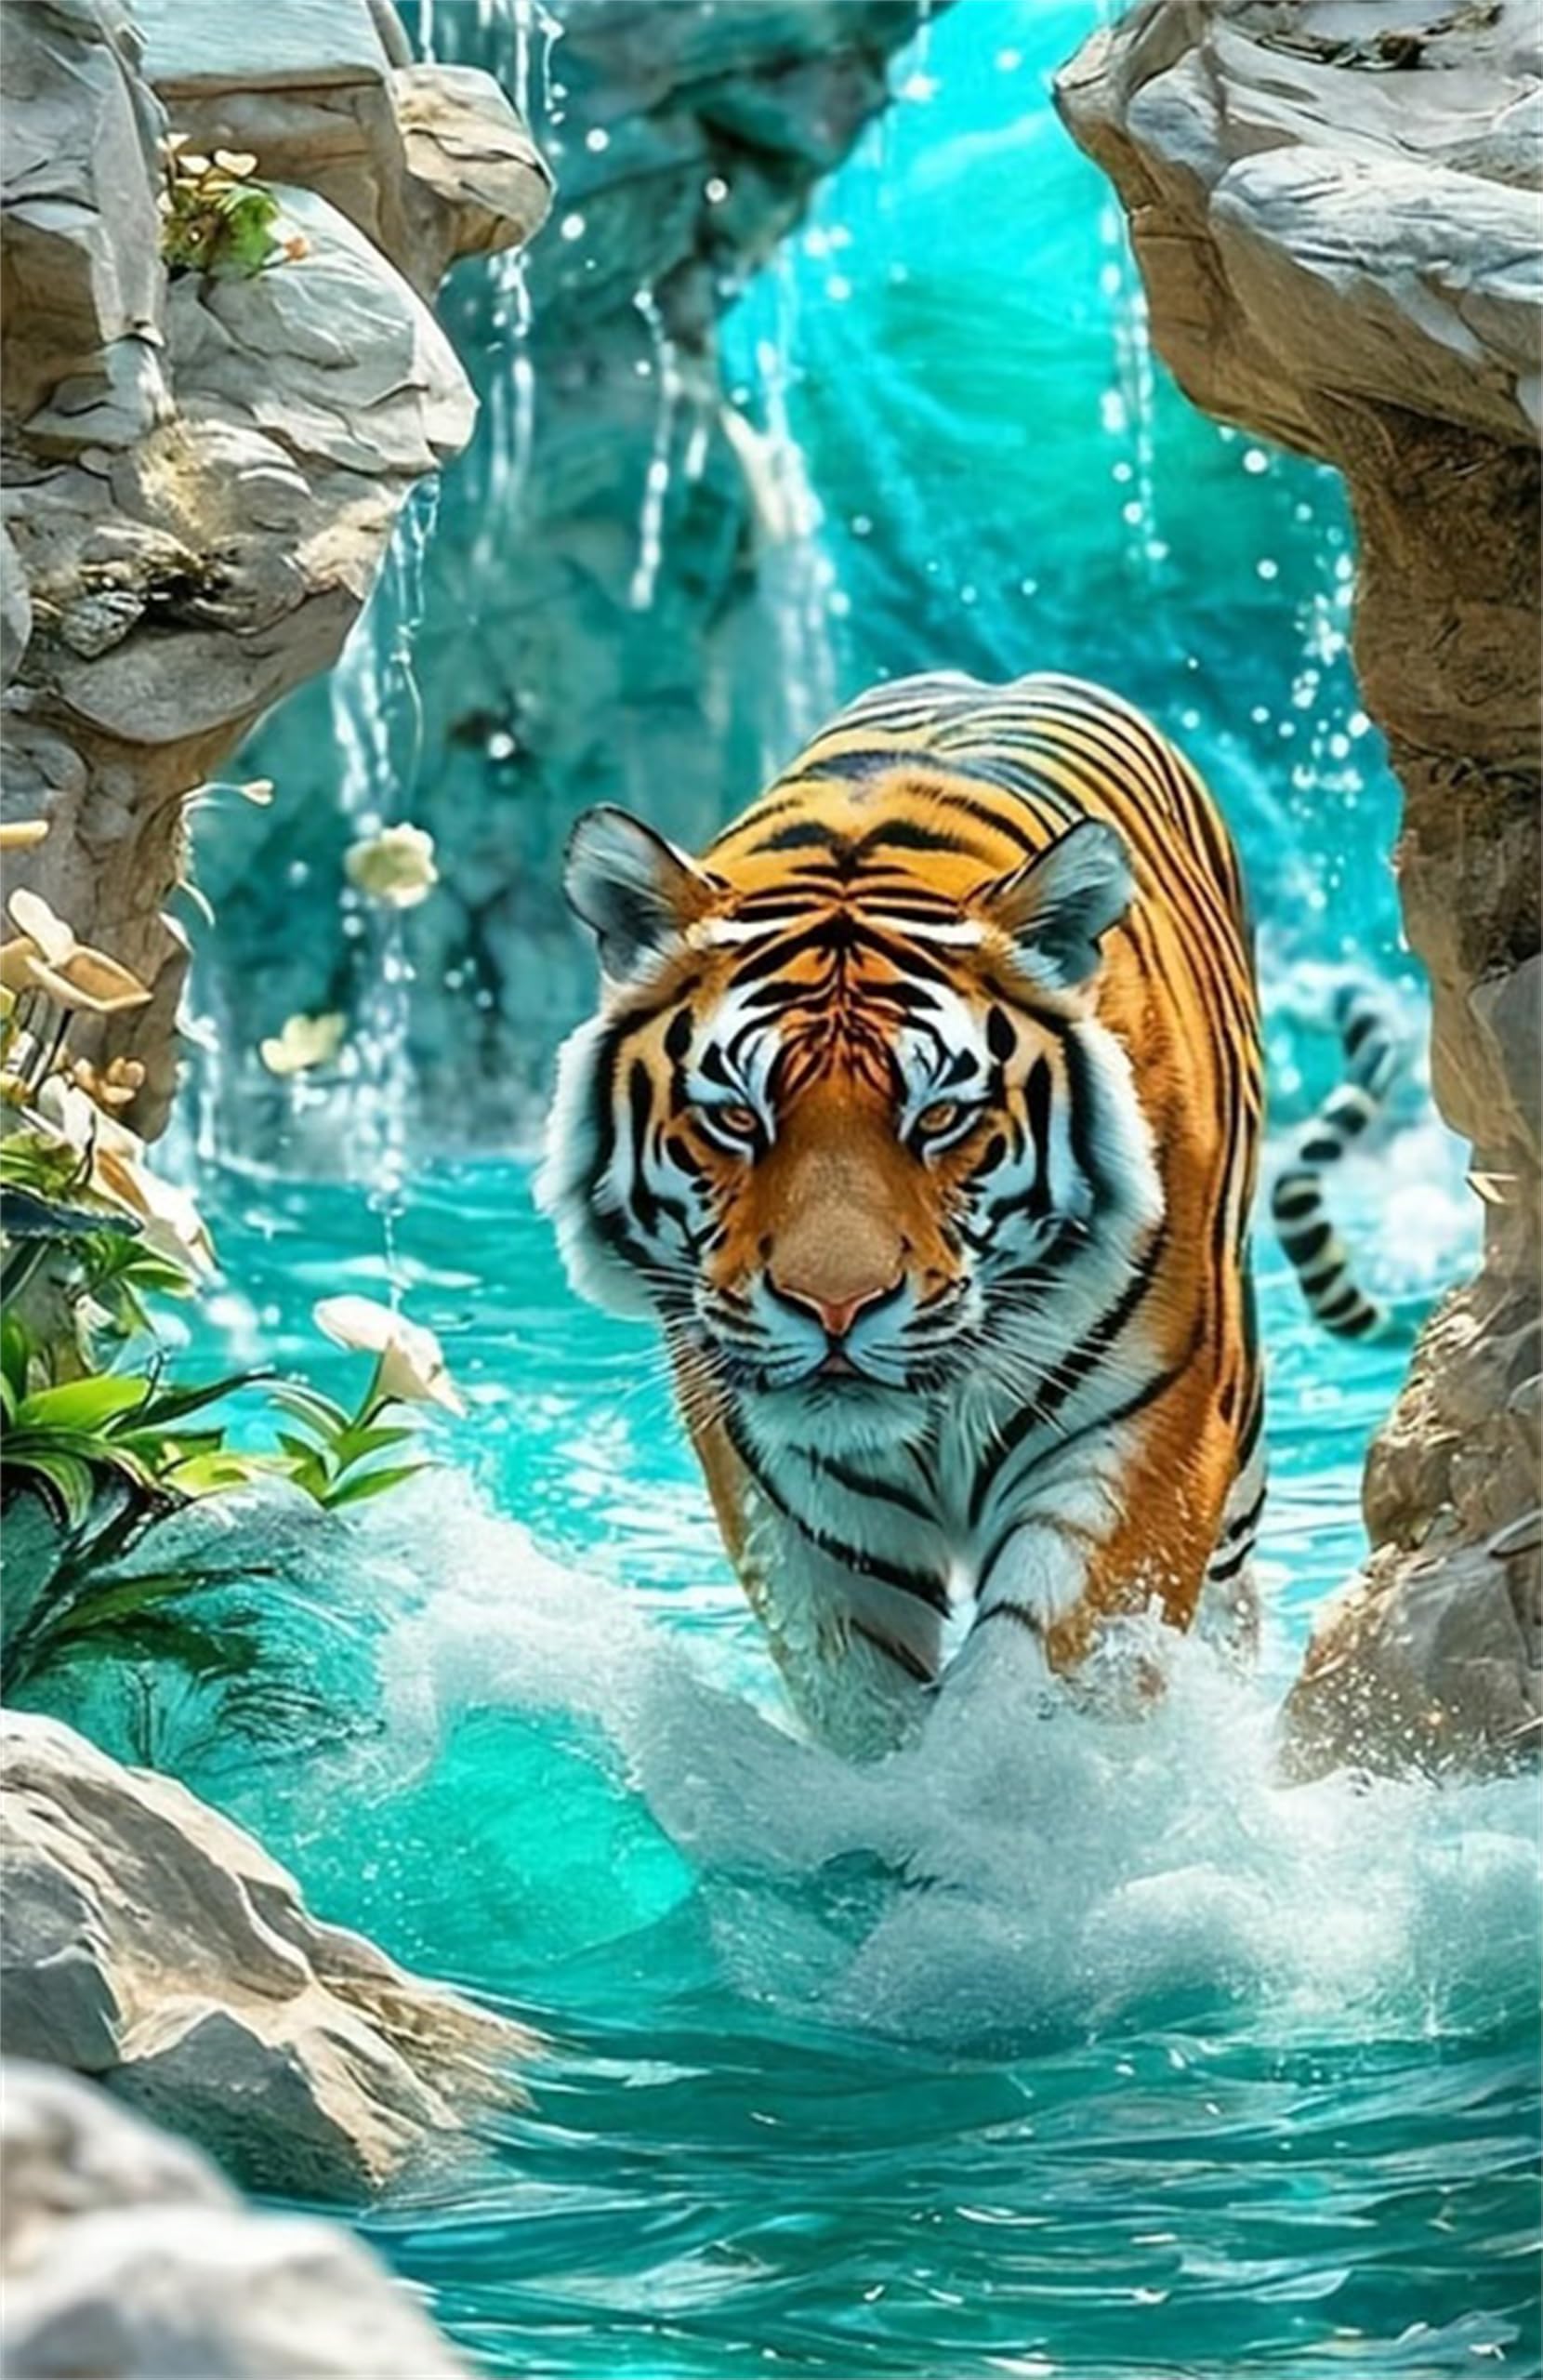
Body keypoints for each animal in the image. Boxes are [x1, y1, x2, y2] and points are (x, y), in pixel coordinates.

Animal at [539, 671, 1278, 1758]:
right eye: (735, 1116)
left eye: (938, 1117)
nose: (836, 1310)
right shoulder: (793, 1490)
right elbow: (862, 1692)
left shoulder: (1144, 1435)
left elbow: (1035, 1687)